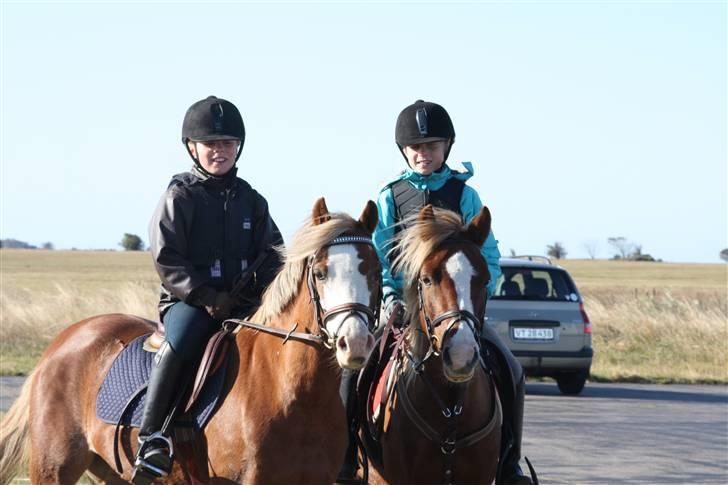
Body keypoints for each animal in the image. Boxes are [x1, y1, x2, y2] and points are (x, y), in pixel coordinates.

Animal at [1, 197, 382, 484]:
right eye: (320, 272)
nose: (355, 343)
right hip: (54, 469)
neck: (293, 391)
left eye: (376, 272)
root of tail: (62, 342)